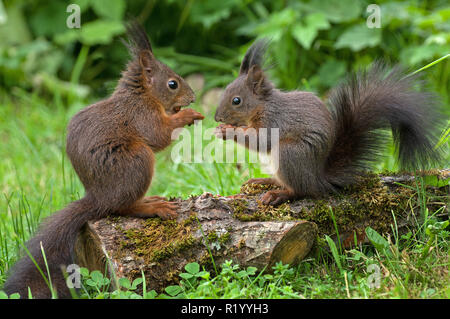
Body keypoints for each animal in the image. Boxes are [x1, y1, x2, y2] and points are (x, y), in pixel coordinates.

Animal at [3, 22, 204, 300]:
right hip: (138, 161)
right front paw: (189, 115)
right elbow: (159, 136)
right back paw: (151, 206)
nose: (192, 97)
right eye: (172, 84)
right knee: (121, 208)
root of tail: (98, 198)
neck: (141, 95)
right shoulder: (142, 115)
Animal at [214, 39, 442, 208]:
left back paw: (278, 194)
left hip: (289, 154)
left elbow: (262, 140)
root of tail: (318, 177)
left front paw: (227, 131)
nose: (217, 118)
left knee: (301, 190)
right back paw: (263, 180)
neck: (263, 105)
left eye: (236, 100)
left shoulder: (275, 121)